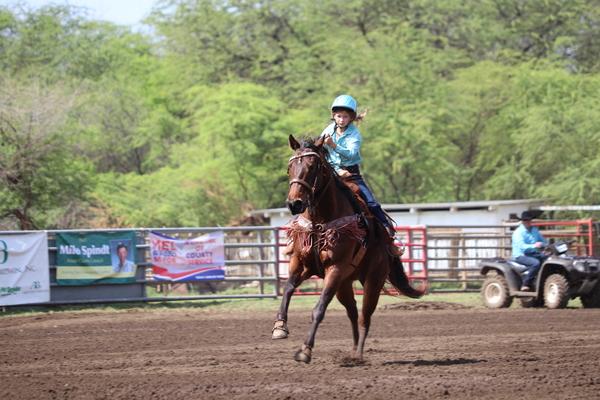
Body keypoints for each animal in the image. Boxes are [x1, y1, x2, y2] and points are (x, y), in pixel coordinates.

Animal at [272, 134, 422, 362]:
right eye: (290, 167)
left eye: (313, 166)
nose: (294, 203)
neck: (319, 222)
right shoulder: (300, 263)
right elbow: (288, 289)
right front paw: (280, 327)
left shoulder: (335, 269)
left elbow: (319, 308)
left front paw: (305, 350)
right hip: (344, 285)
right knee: (352, 312)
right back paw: (352, 351)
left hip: (373, 281)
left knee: (364, 316)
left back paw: (358, 354)